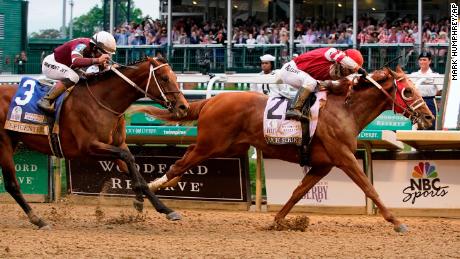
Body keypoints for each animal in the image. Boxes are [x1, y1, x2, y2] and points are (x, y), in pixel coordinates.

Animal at [0, 57, 189, 230]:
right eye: (164, 78)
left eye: (175, 77)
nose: (183, 107)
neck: (103, 102)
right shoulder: (89, 147)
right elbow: (128, 158)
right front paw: (139, 199)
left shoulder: (117, 144)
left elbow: (133, 167)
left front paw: (162, 208)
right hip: (4, 143)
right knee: (12, 184)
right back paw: (38, 220)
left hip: (13, 140)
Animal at [133, 65, 434, 234]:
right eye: (407, 91)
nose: (429, 117)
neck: (345, 109)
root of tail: (211, 101)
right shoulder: (344, 158)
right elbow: (369, 188)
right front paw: (396, 221)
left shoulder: (323, 164)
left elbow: (298, 192)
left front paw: (277, 220)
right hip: (211, 144)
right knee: (178, 165)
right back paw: (148, 193)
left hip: (227, 147)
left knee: (183, 165)